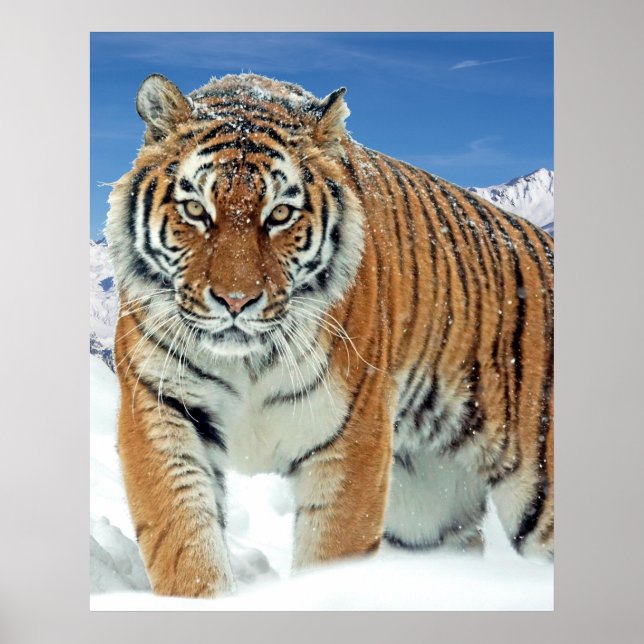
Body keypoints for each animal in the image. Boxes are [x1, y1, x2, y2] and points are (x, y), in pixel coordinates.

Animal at [105, 72, 554, 598]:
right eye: (196, 209)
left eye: (280, 215)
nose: (235, 301)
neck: (248, 361)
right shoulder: (160, 407)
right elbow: (184, 543)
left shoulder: (351, 436)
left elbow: (332, 551)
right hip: (427, 510)